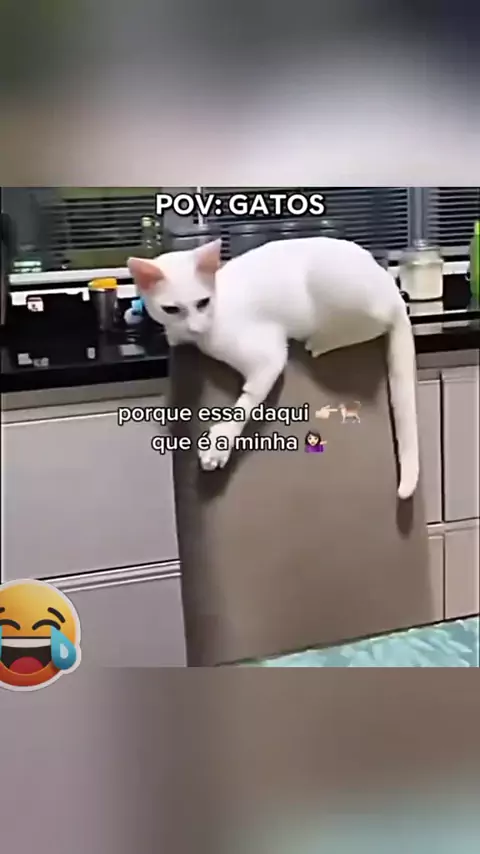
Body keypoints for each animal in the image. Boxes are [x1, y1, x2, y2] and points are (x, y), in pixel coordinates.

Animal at [128, 237, 419, 498]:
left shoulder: (269, 355)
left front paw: (220, 445)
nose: (195, 328)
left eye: (203, 302)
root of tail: (391, 286)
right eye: (171, 309)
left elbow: (247, 401)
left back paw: (321, 342)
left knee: (375, 322)